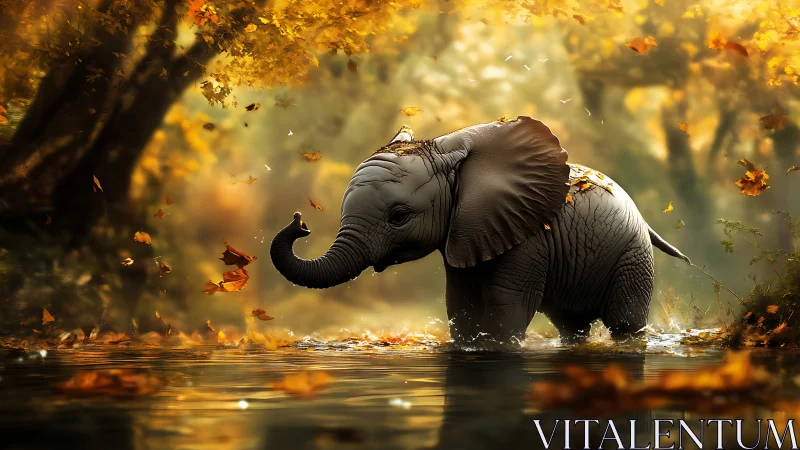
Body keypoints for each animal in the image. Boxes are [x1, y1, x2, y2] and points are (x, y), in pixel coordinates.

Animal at [270, 116, 691, 344]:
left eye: (399, 217)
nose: (300, 222)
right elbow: (460, 304)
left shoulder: (527, 236)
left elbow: (508, 304)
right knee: (572, 325)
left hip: (633, 256)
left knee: (625, 323)